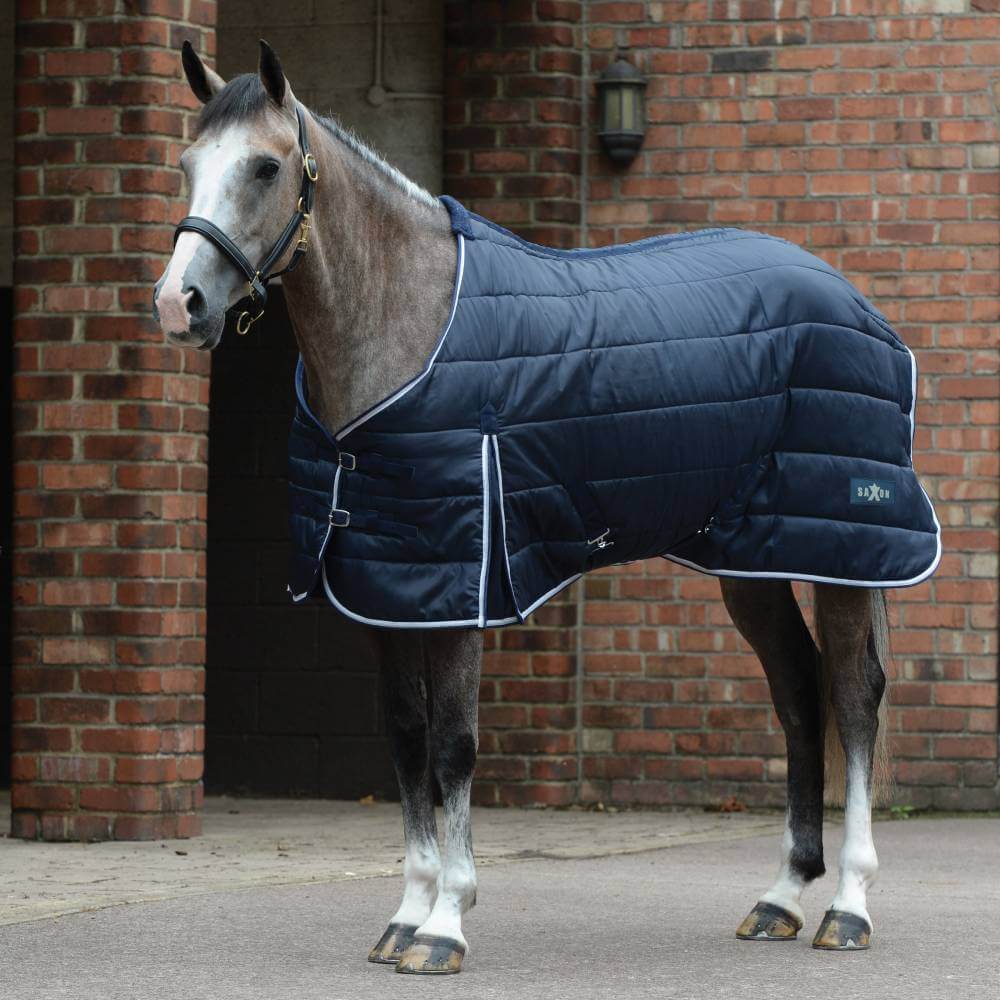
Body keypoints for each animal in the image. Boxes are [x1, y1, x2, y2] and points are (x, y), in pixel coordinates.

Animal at [155, 41, 937, 973]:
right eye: (187, 164)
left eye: (267, 166)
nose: (179, 304)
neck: (409, 329)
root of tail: (856, 302)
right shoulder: (387, 587)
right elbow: (407, 739)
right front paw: (406, 915)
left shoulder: (461, 587)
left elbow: (454, 745)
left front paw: (445, 925)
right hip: (754, 559)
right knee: (797, 692)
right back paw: (780, 897)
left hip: (844, 549)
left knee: (853, 699)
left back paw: (847, 907)